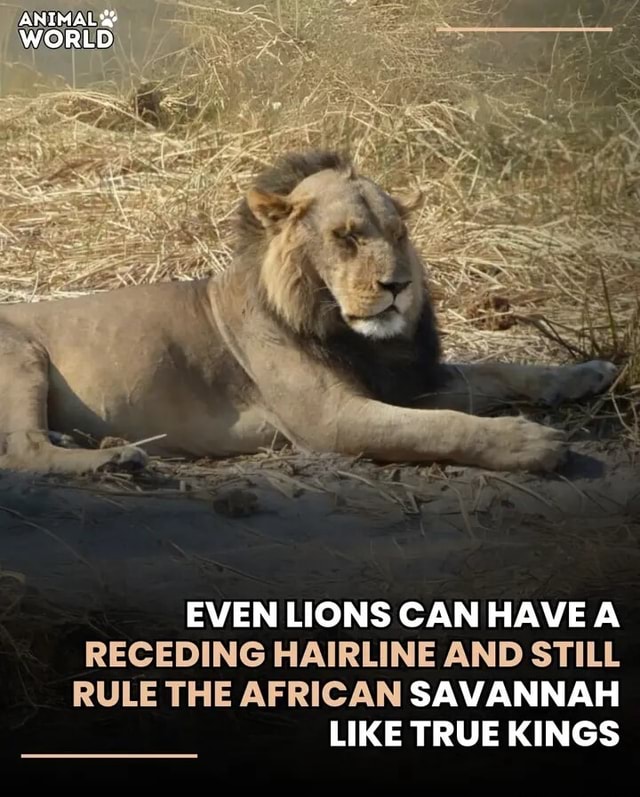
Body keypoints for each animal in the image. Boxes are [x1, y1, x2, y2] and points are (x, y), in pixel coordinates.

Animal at [0, 149, 618, 476]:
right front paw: (531, 443)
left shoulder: (404, 382)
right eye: (346, 237)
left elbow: (500, 371)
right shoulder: (331, 419)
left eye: (398, 233)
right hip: (23, 356)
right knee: (22, 449)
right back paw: (114, 459)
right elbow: (442, 426)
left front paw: (587, 373)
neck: (350, 332)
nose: (398, 285)